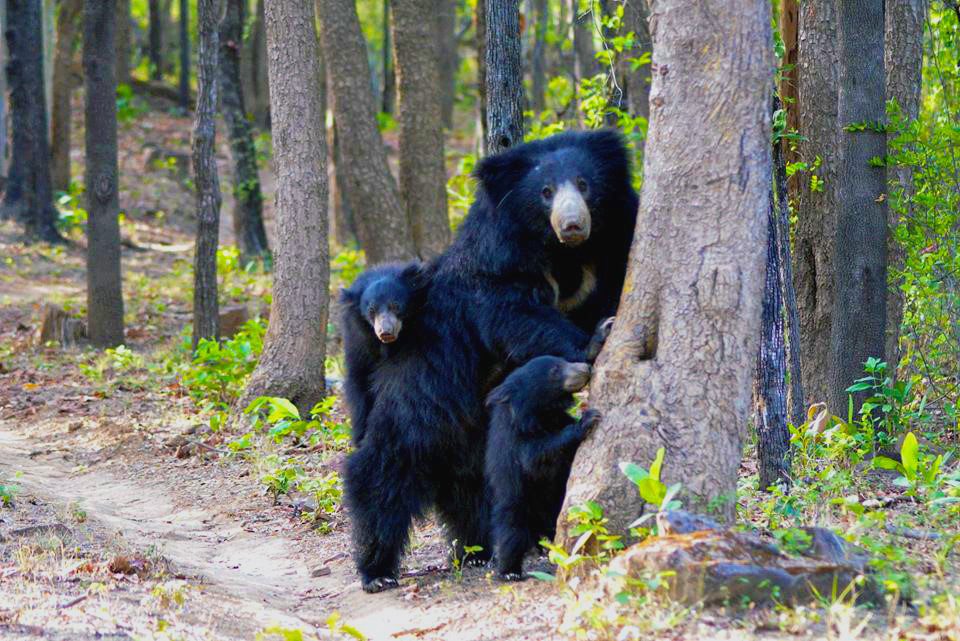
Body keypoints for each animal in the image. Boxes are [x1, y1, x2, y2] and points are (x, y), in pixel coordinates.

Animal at [338, 260, 428, 444]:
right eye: (371, 310)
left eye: (396, 306)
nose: (385, 332)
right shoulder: (357, 339)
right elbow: (359, 378)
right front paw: (360, 435)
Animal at [488, 356, 600, 580]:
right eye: (554, 371)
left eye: (564, 361)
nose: (586, 367)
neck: (542, 413)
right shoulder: (517, 441)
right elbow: (537, 457)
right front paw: (587, 419)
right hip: (518, 506)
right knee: (511, 536)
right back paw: (510, 572)